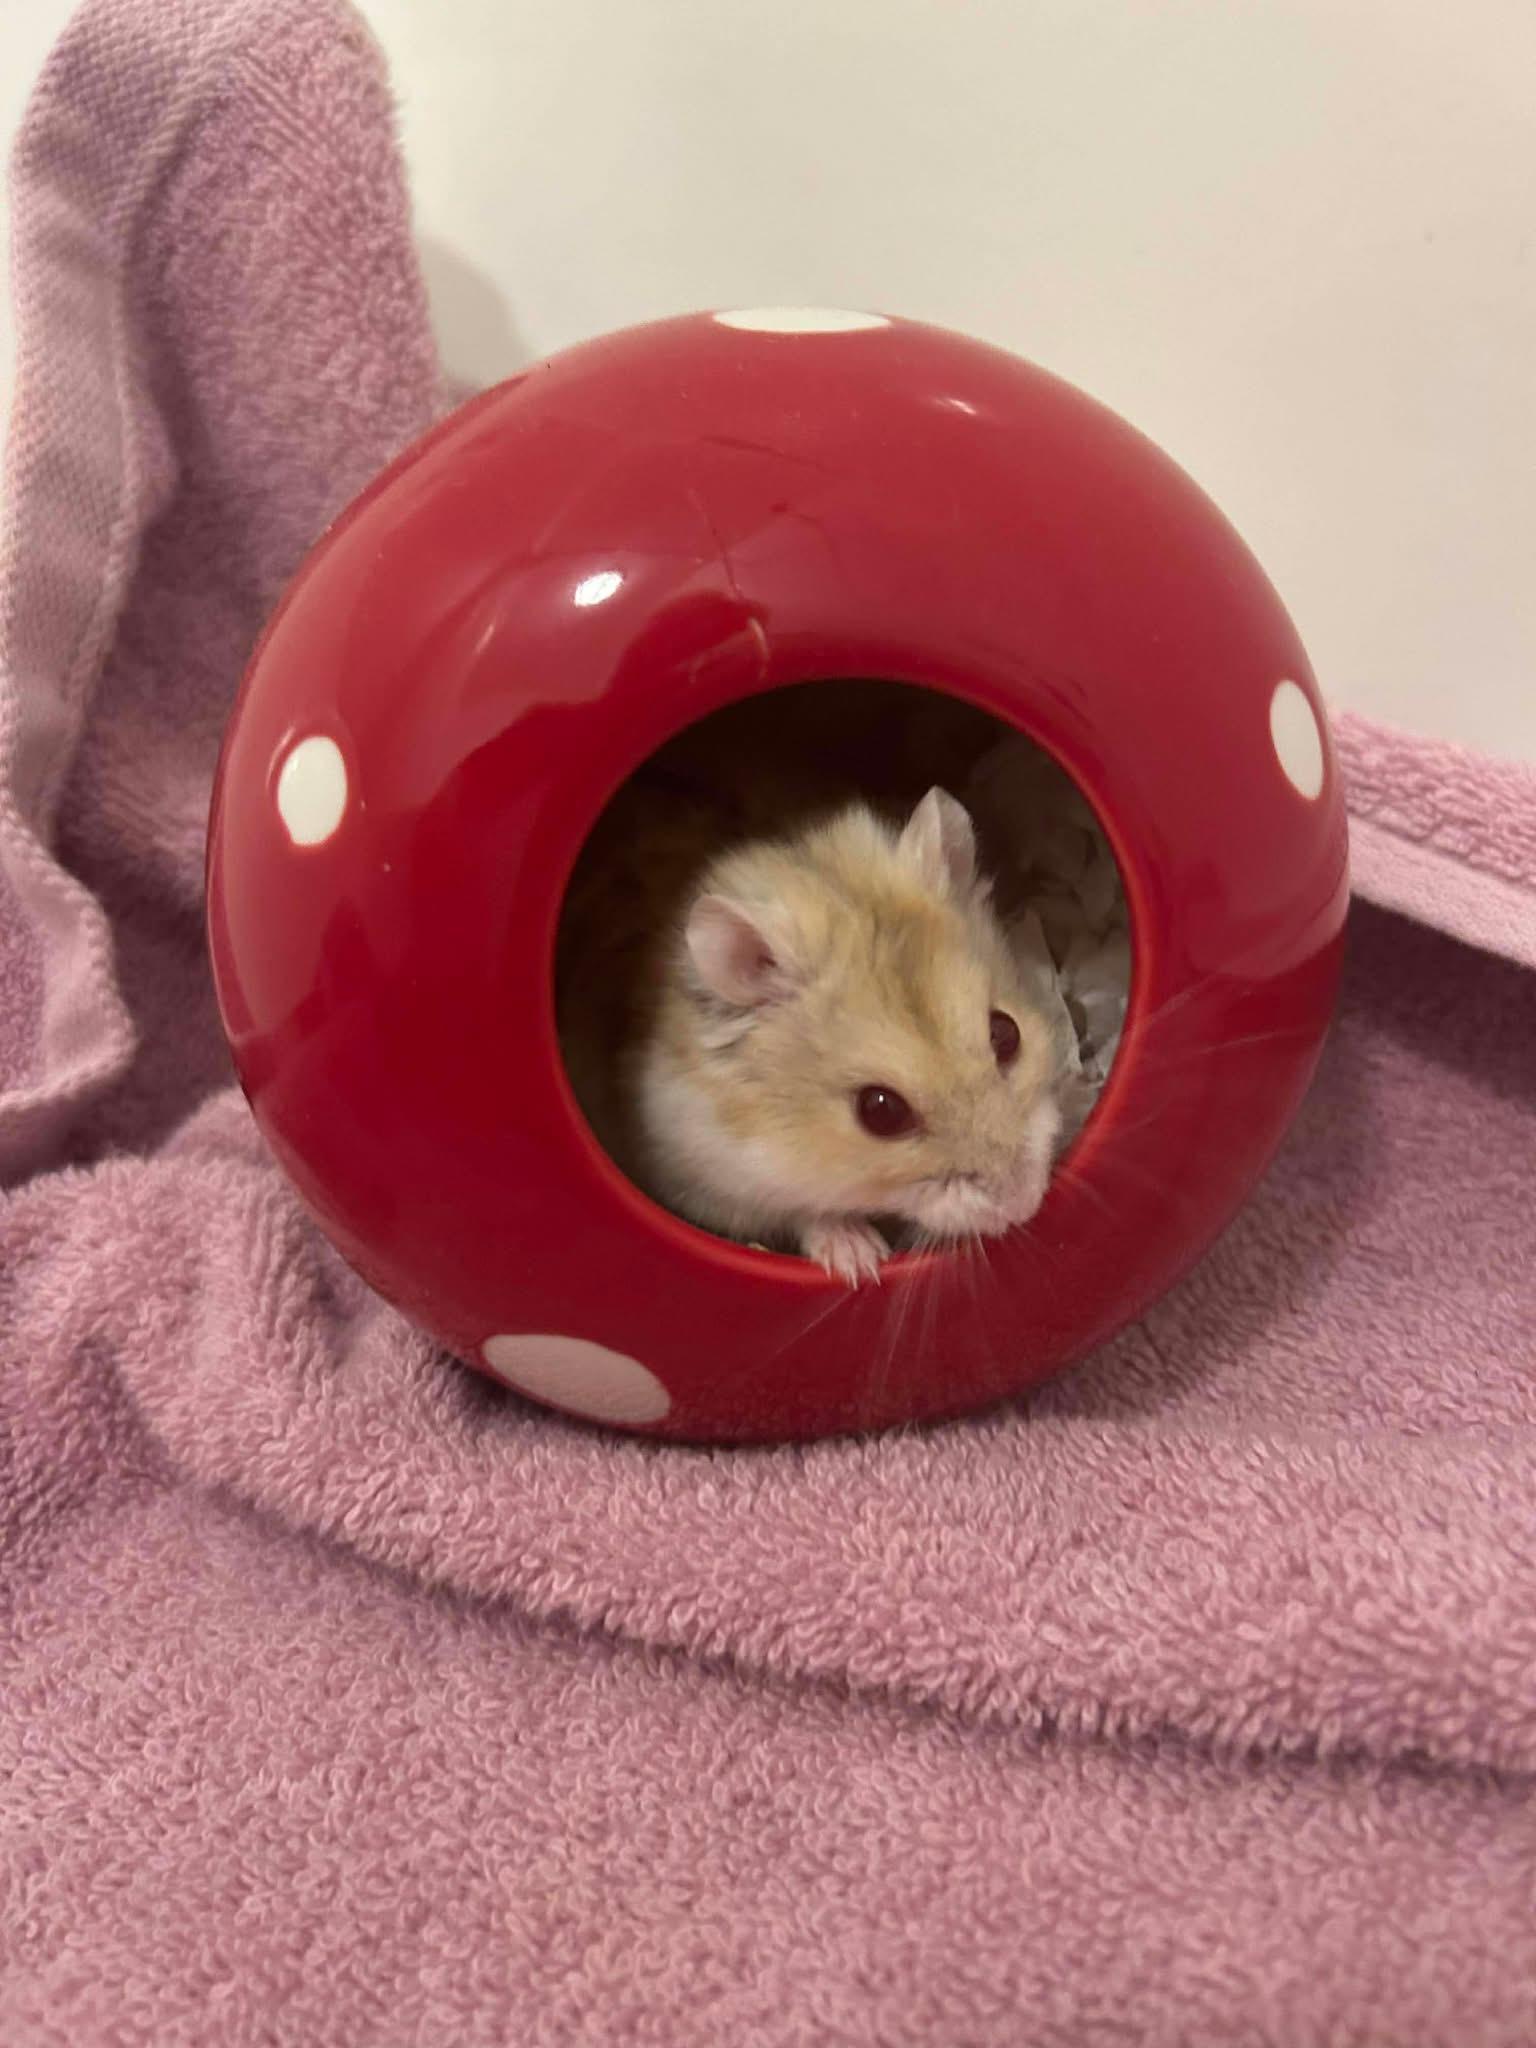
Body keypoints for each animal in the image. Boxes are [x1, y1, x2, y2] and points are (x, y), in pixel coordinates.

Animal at [630, 787, 1066, 1284]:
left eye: (1006, 1033)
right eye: (880, 1111)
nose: (1022, 1205)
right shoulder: (706, 1177)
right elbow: (803, 1210)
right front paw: (862, 1261)